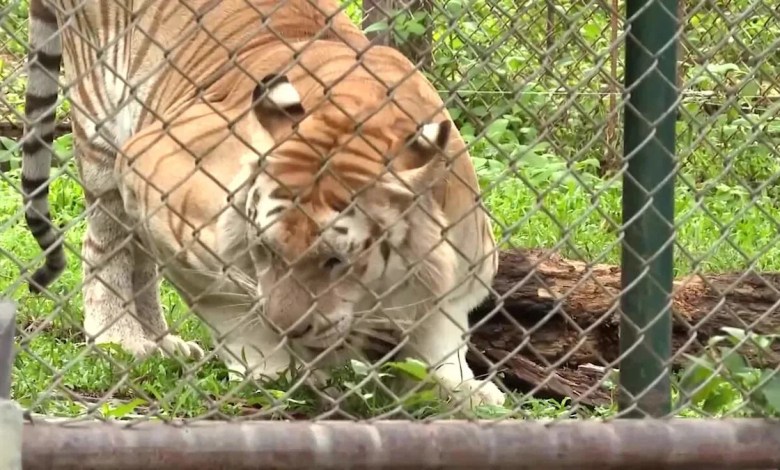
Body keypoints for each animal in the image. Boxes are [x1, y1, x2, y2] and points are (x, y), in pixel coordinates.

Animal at [114, 37, 507, 407]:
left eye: (336, 261)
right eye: (266, 250)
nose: (288, 330)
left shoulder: (465, 272)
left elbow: (439, 338)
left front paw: (468, 391)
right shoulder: (163, 188)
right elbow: (229, 301)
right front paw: (271, 372)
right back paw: (130, 342)